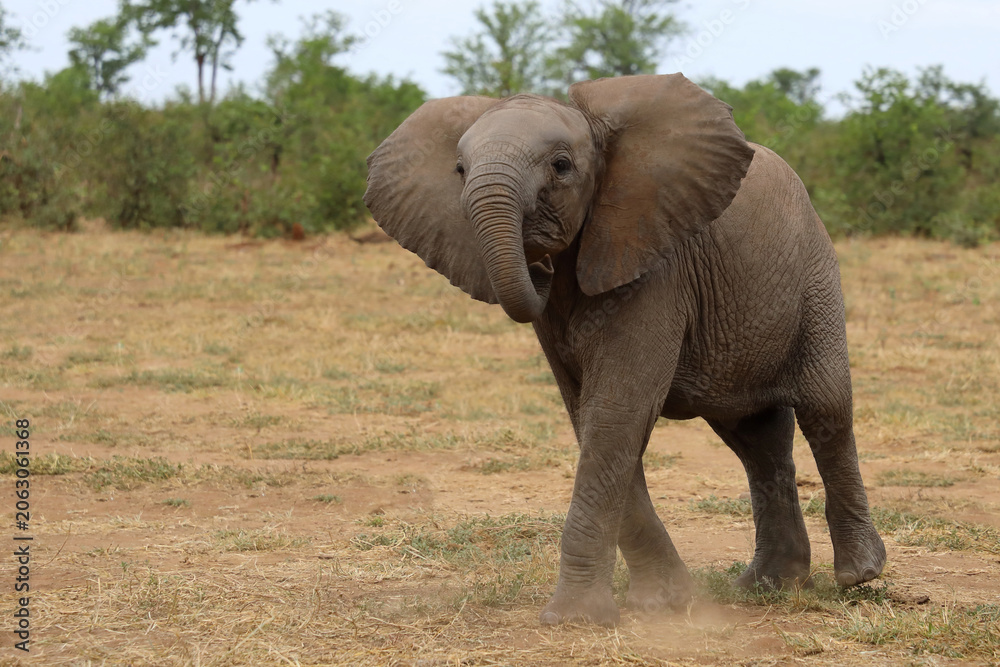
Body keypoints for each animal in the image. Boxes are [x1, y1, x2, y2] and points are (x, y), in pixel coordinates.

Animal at [363, 73, 886, 627]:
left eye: (561, 165)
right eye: (459, 171)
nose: (539, 265)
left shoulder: (654, 264)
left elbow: (617, 411)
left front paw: (573, 620)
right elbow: (590, 416)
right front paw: (665, 601)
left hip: (815, 277)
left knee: (826, 410)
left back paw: (858, 575)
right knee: (756, 438)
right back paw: (770, 586)